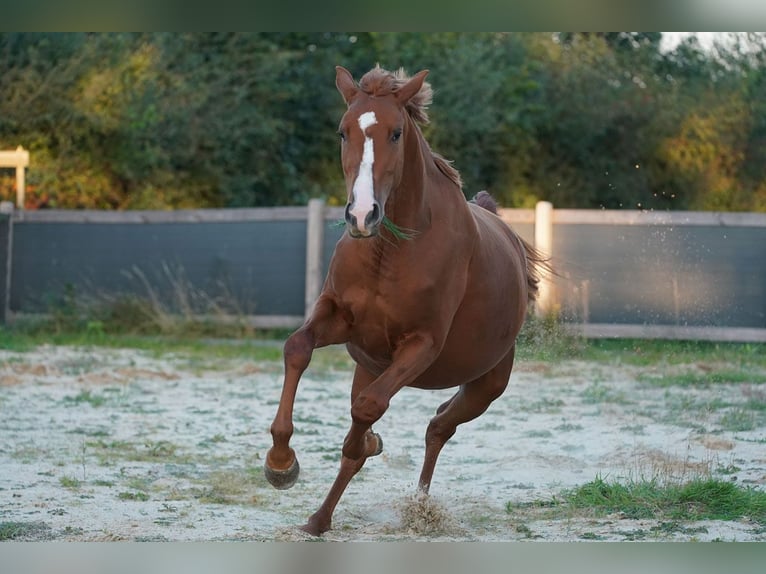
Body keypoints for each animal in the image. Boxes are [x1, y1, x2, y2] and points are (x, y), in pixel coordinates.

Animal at [268, 65, 548, 536]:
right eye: (342, 132)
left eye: (396, 133)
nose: (362, 215)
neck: (390, 251)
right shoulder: (338, 318)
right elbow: (297, 349)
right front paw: (281, 463)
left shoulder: (421, 345)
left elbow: (368, 409)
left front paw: (360, 444)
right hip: (368, 365)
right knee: (414, 423)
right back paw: (319, 520)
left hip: (485, 385)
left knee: (437, 426)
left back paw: (416, 504)